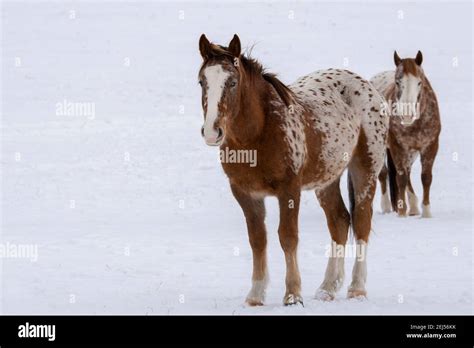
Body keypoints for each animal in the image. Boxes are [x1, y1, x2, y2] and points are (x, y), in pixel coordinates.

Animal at [198, 33, 386, 304]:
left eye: (232, 82)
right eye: (202, 81)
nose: (212, 132)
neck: (259, 134)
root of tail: (367, 86)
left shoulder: (289, 190)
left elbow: (287, 237)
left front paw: (293, 295)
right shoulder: (245, 193)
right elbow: (258, 240)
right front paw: (255, 295)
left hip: (366, 168)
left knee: (361, 221)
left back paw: (357, 288)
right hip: (326, 180)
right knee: (339, 222)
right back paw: (327, 288)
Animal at [370, 51, 440, 218]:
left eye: (419, 82)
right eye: (397, 82)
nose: (407, 115)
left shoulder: (430, 146)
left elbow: (426, 178)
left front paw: (426, 212)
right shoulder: (397, 146)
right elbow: (400, 178)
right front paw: (401, 212)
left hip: (411, 152)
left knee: (407, 173)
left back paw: (414, 207)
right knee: (384, 174)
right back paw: (387, 207)